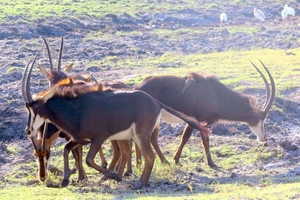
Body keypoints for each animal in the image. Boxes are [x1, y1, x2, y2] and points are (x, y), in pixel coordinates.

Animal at [21, 55, 209, 188]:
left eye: (35, 107)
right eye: (27, 108)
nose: (28, 130)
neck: (76, 108)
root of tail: (155, 102)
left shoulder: (99, 138)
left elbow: (89, 159)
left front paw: (114, 176)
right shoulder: (79, 139)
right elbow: (67, 150)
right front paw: (65, 180)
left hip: (140, 134)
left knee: (149, 156)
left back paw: (140, 183)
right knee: (135, 154)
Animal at [135, 60, 276, 166]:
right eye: (262, 118)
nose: (264, 138)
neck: (216, 95)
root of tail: (138, 87)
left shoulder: (193, 121)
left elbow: (185, 137)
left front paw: (177, 160)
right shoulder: (203, 120)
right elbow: (204, 140)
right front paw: (211, 163)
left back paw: (145, 162)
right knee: (150, 138)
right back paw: (161, 161)